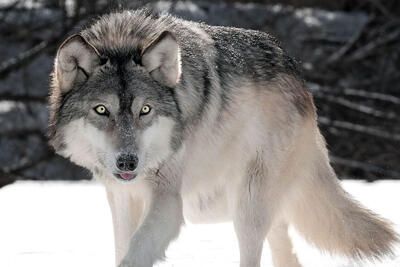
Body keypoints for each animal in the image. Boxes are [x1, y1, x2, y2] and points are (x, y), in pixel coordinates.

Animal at [48, 9, 398, 267]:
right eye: (101, 109)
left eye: (144, 110)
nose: (128, 162)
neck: (124, 39)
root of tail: (301, 81)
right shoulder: (122, 197)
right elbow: (123, 247)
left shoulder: (168, 202)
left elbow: (135, 253)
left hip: (245, 204)